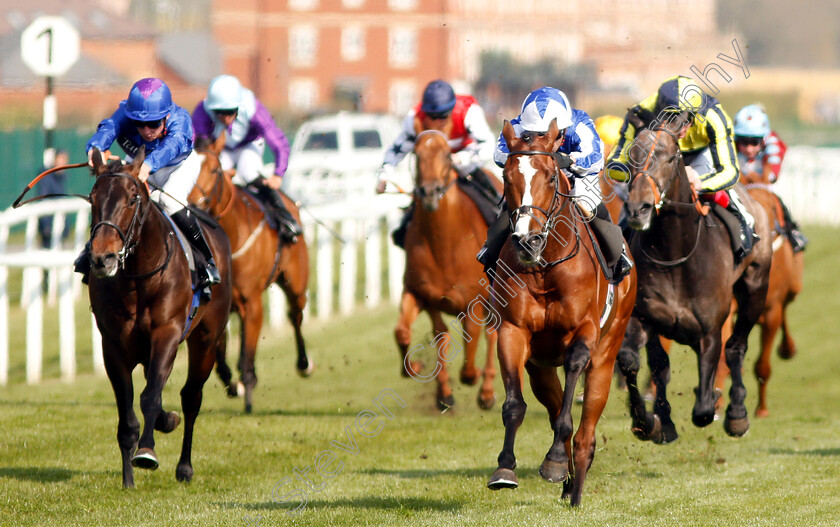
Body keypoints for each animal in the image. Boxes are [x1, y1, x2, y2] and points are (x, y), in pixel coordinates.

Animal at [87, 148, 233, 486]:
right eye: (92, 198)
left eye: (131, 199)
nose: (102, 258)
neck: (138, 278)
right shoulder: (113, 346)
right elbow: (128, 416)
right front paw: (128, 479)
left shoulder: (167, 333)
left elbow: (150, 397)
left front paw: (146, 453)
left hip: (206, 338)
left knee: (191, 397)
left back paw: (184, 467)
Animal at [190, 134, 312, 414]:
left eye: (214, 170)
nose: (191, 202)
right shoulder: (219, 304)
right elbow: (220, 356)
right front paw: (234, 386)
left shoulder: (252, 302)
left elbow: (245, 355)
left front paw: (247, 392)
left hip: (296, 284)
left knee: (296, 316)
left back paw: (304, 364)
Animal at [394, 115, 498, 412]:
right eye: (417, 154)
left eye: (446, 154)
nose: (430, 192)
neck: (444, 244)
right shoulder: (420, 293)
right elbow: (406, 332)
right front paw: (427, 378)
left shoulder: (474, 303)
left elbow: (471, 353)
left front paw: (475, 379)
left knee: (492, 334)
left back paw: (487, 392)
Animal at [486, 119, 636, 508]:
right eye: (507, 177)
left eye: (552, 176)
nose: (528, 241)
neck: (545, 268)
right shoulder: (513, 331)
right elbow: (514, 405)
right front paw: (504, 469)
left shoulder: (584, 333)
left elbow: (572, 384)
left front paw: (553, 461)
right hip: (540, 367)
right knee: (553, 408)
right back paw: (567, 479)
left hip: (606, 354)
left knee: (586, 430)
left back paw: (576, 484)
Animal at [620, 117, 772, 444]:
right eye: (631, 156)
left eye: (669, 157)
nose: (638, 209)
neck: (676, 254)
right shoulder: (645, 317)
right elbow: (636, 361)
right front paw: (650, 422)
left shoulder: (710, 330)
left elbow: (702, 409)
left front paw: (715, 404)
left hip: (755, 289)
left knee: (736, 347)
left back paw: (737, 414)